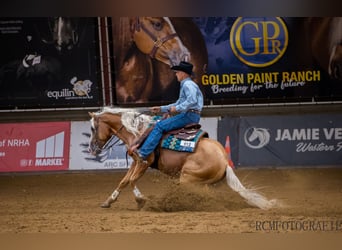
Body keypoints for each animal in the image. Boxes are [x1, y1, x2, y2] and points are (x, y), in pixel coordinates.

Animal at [87, 108, 276, 210]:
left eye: (93, 128)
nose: (91, 149)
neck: (137, 131)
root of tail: (224, 161)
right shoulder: (136, 161)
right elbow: (124, 181)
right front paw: (108, 201)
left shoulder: (143, 162)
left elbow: (132, 180)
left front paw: (141, 201)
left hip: (187, 177)